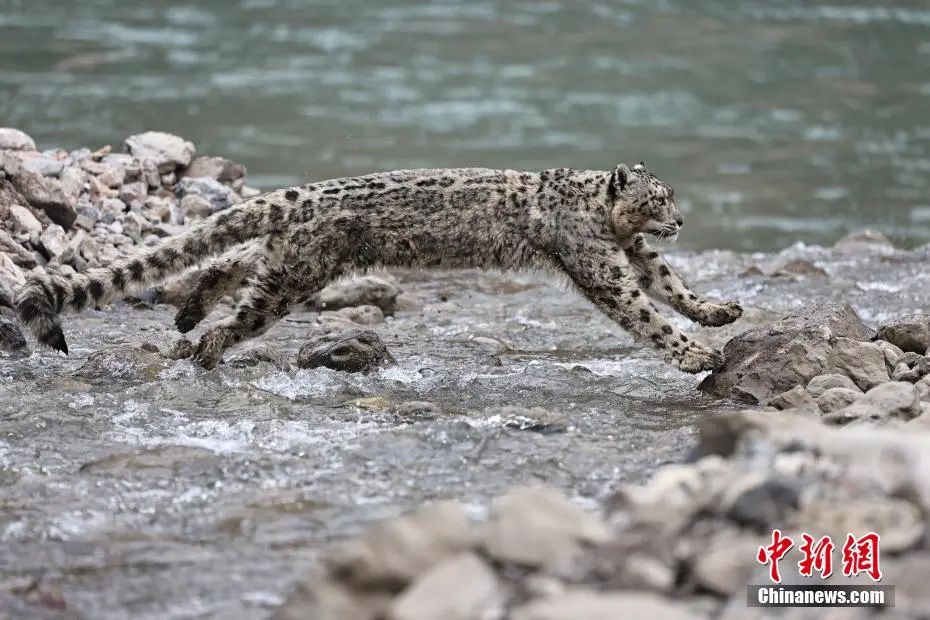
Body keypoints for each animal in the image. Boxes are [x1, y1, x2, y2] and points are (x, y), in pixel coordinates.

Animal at [16, 162, 740, 370]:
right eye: (658, 197)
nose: (680, 220)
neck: (607, 220)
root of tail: (303, 194)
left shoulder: (635, 254)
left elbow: (672, 284)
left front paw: (719, 311)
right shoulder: (602, 264)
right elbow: (645, 309)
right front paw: (696, 354)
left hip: (290, 255)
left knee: (235, 261)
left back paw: (190, 312)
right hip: (296, 275)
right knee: (238, 312)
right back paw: (204, 349)